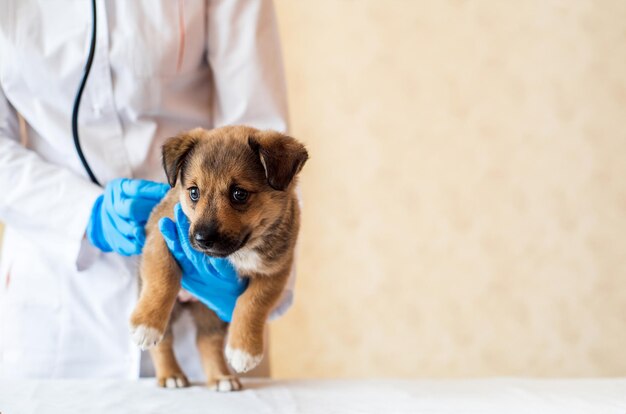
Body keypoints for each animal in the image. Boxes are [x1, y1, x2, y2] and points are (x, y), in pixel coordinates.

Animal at [130, 124, 308, 390]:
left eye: (239, 194)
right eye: (194, 192)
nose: (202, 239)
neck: (241, 251)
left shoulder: (275, 271)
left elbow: (253, 303)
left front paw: (244, 350)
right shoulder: (161, 238)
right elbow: (163, 279)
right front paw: (146, 325)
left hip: (212, 313)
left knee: (207, 341)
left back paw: (220, 377)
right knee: (165, 340)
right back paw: (170, 374)